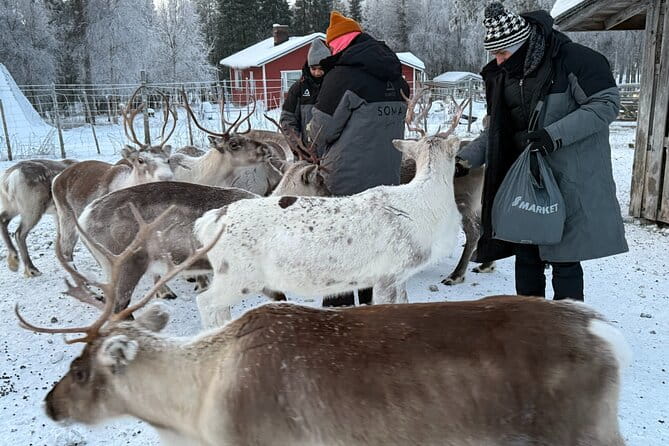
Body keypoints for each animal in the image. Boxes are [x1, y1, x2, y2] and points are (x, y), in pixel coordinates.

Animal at [52, 88, 175, 263]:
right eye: (140, 160)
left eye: (168, 159)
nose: (166, 176)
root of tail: (57, 178)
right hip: (66, 215)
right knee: (66, 249)